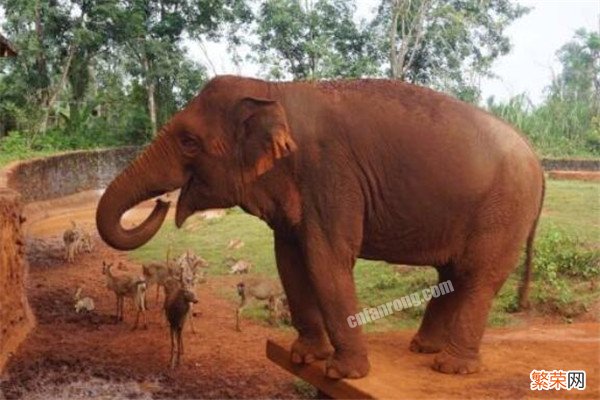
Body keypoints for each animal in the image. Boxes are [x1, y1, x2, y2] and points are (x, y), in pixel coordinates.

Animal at [96, 75, 548, 378]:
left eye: (189, 142)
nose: (161, 202)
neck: (272, 91)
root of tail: (536, 156)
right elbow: (290, 261)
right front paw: (303, 357)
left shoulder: (330, 176)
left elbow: (326, 261)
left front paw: (343, 373)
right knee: (452, 275)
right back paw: (422, 349)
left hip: (504, 211)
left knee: (478, 277)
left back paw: (450, 367)